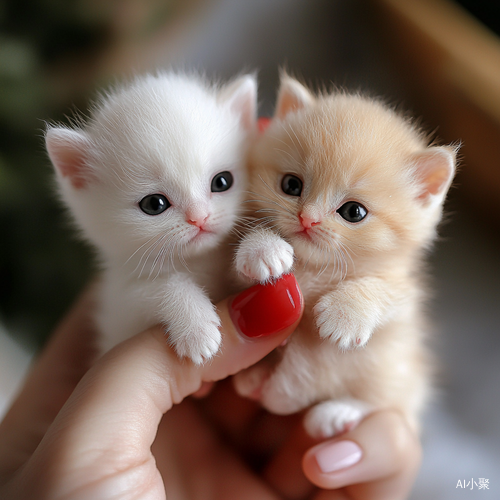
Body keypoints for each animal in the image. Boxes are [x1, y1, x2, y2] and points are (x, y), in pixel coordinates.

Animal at [46, 71, 256, 364]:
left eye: (222, 181)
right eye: (154, 204)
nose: (199, 217)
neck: (196, 261)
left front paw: (263, 249)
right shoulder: (120, 308)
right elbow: (156, 288)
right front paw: (195, 327)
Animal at [234, 75, 458, 438]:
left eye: (353, 212)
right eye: (291, 185)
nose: (307, 219)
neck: (316, 268)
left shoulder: (408, 305)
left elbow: (388, 290)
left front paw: (345, 314)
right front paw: (263, 249)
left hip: (393, 371)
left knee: (395, 403)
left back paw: (336, 413)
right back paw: (255, 381)